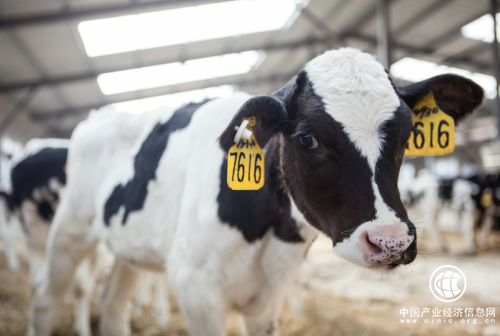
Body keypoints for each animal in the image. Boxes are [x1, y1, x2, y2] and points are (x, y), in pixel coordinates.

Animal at [28, 48, 484, 336]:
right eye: (307, 139)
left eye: (408, 135)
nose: (391, 242)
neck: (270, 235)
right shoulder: (196, 289)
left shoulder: (267, 302)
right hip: (69, 229)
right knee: (46, 300)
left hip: (129, 245)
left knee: (112, 306)